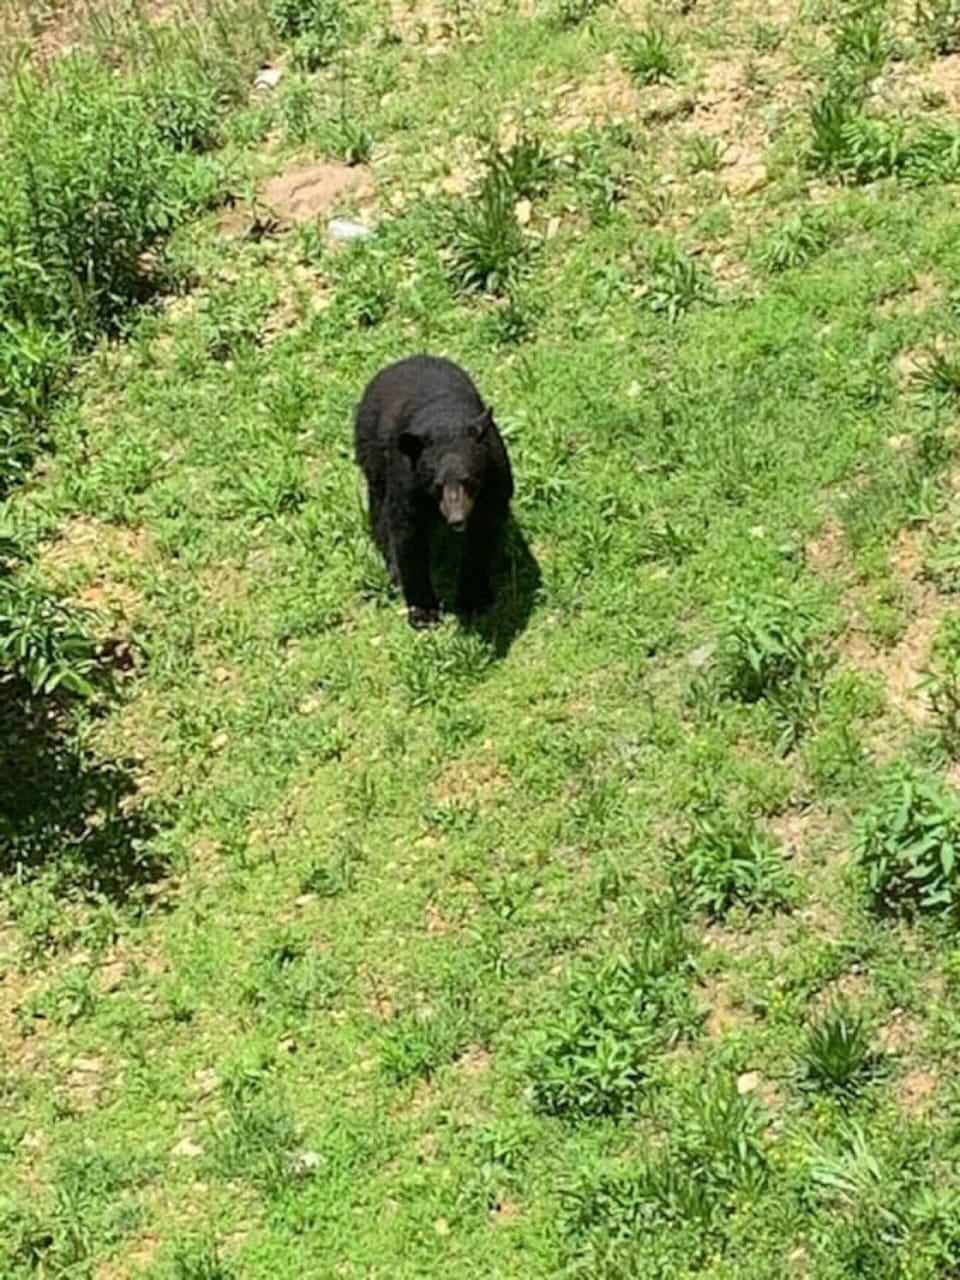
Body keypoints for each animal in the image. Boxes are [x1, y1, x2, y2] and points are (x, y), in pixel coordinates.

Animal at [354, 354, 514, 629]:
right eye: (437, 485)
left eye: (469, 479)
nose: (457, 518)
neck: (444, 421)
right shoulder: (408, 479)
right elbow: (407, 533)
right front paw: (424, 612)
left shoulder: (494, 474)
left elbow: (482, 534)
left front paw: (473, 598)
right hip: (372, 454)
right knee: (379, 509)